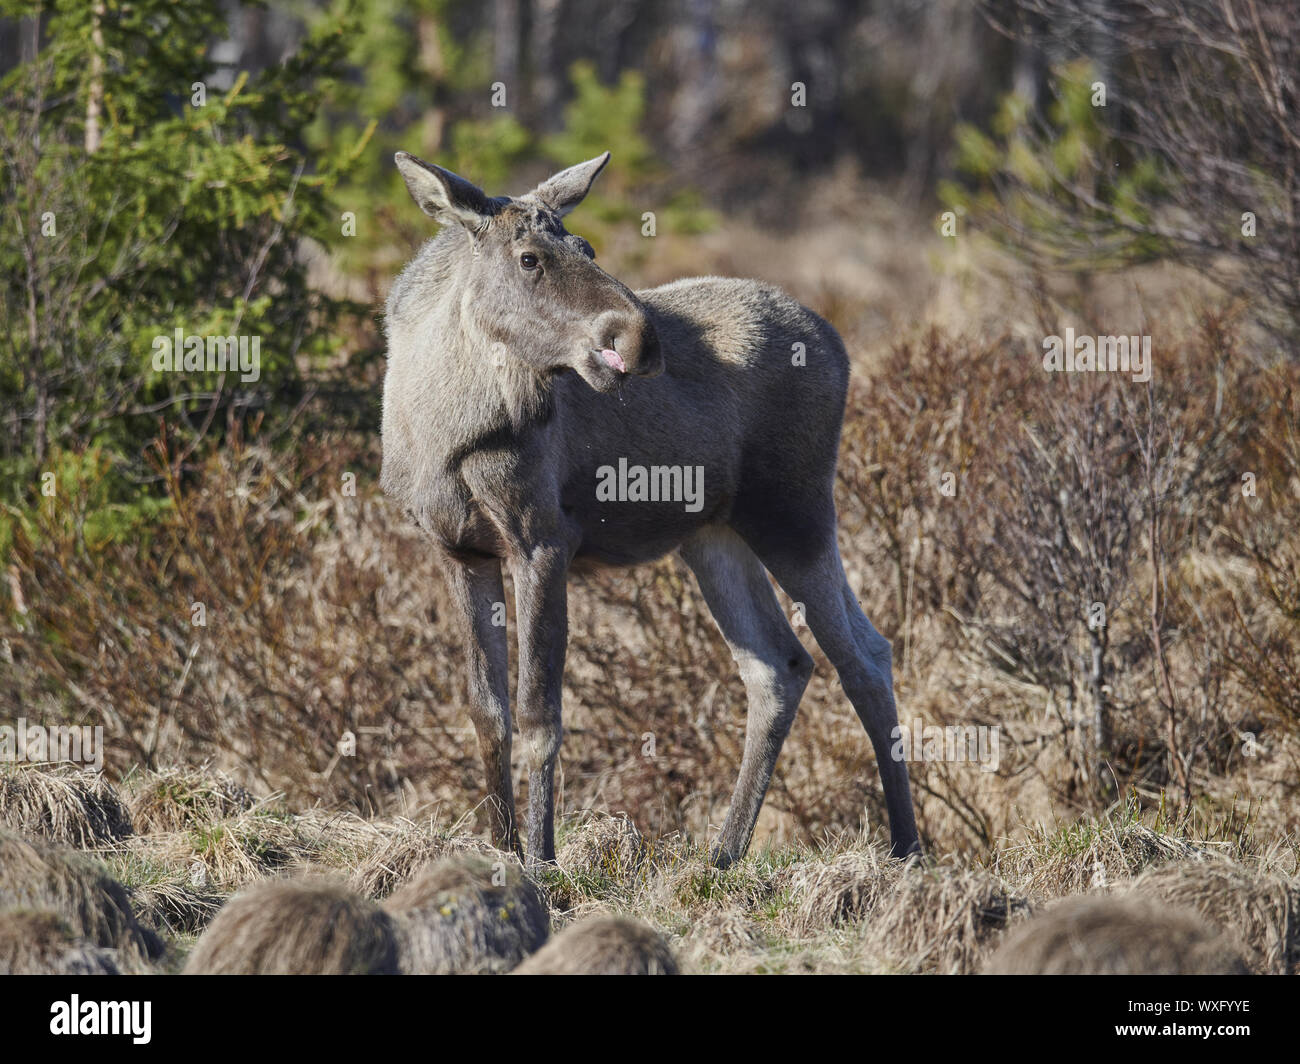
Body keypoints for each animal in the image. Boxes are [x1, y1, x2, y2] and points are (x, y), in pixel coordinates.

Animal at [381, 149, 921, 869]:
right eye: (529, 257)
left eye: (585, 245)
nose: (640, 337)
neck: (446, 430)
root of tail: (838, 343)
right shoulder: (459, 550)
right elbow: (486, 711)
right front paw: (500, 850)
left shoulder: (543, 540)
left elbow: (540, 714)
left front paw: (543, 860)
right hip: (715, 536)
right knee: (780, 665)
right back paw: (724, 854)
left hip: (795, 512)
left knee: (862, 657)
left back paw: (907, 847)